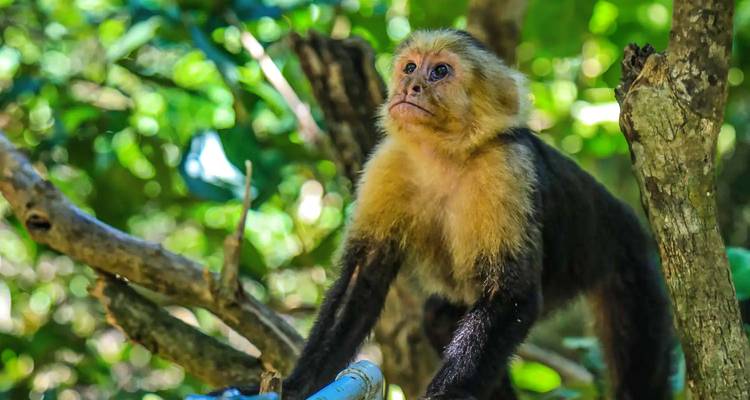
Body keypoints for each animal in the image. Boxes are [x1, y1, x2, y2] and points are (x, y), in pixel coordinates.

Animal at [221, 29, 674, 399]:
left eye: (440, 71)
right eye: (409, 67)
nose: (413, 85)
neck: (442, 156)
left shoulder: (507, 169)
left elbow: (511, 294)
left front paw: (444, 395)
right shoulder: (387, 163)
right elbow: (362, 277)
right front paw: (299, 384)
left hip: (627, 260)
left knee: (637, 356)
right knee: (439, 318)